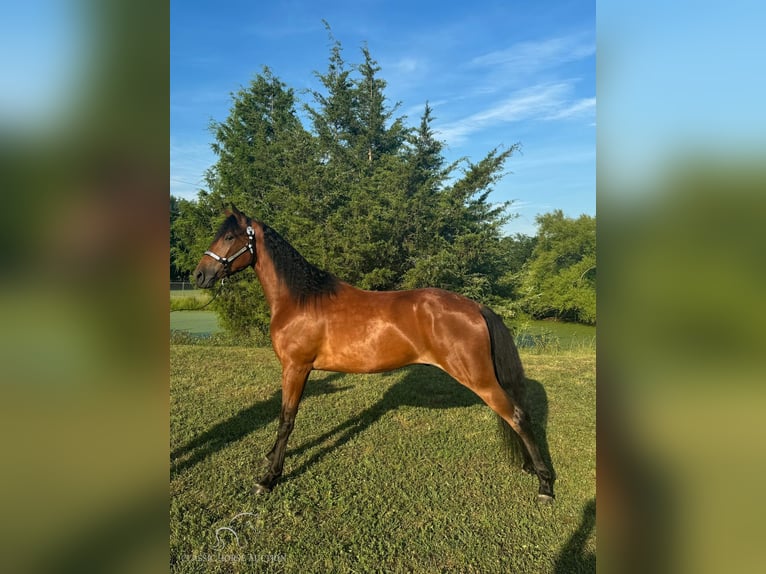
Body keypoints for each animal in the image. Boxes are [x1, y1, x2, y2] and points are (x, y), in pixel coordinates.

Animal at [190, 205, 552, 502]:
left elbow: (286, 420)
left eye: (230, 236)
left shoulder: (296, 368)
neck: (301, 299)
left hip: (480, 380)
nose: (198, 275)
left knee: (517, 416)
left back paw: (545, 485)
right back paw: (530, 468)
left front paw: (268, 478)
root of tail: (476, 306)